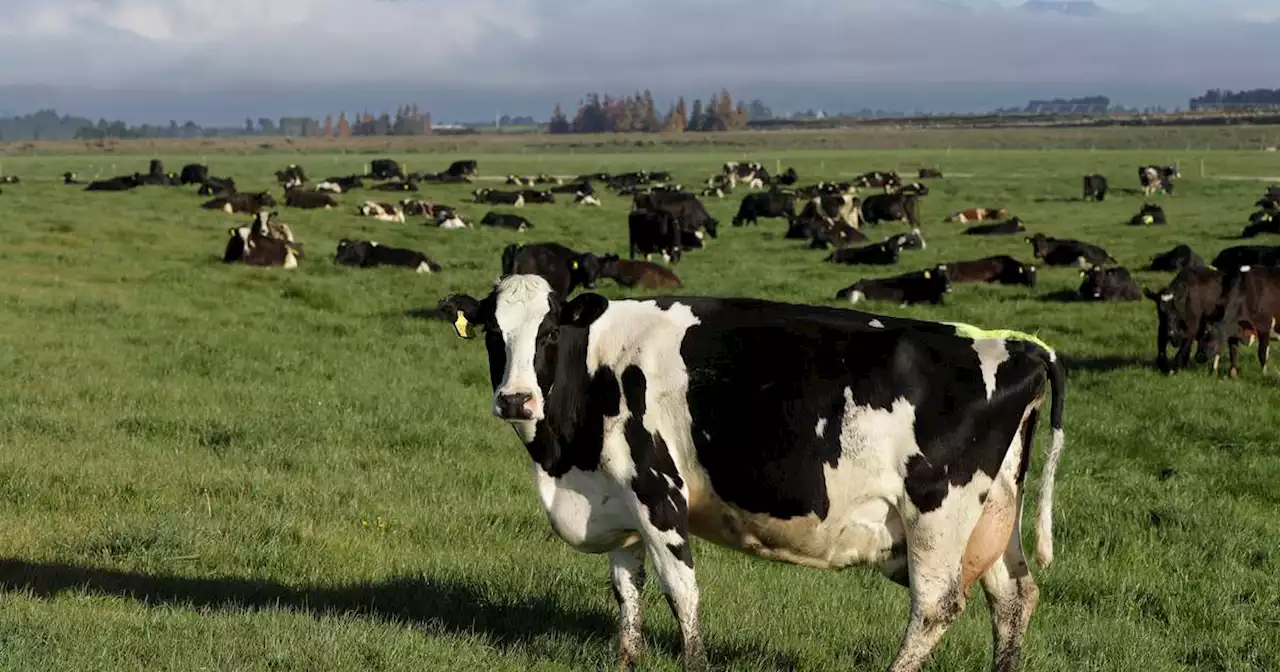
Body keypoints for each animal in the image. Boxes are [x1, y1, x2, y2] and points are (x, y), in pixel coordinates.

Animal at [435, 272, 1064, 670]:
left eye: (547, 333)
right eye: (493, 334)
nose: (516, 400)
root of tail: (1018, 347)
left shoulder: (657, 489)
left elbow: (681, 593)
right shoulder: (616, 497)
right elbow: (626, 592)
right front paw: (628, 661)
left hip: (937, 513)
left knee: (936, 606)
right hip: (993, 516)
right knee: (1013, 599)